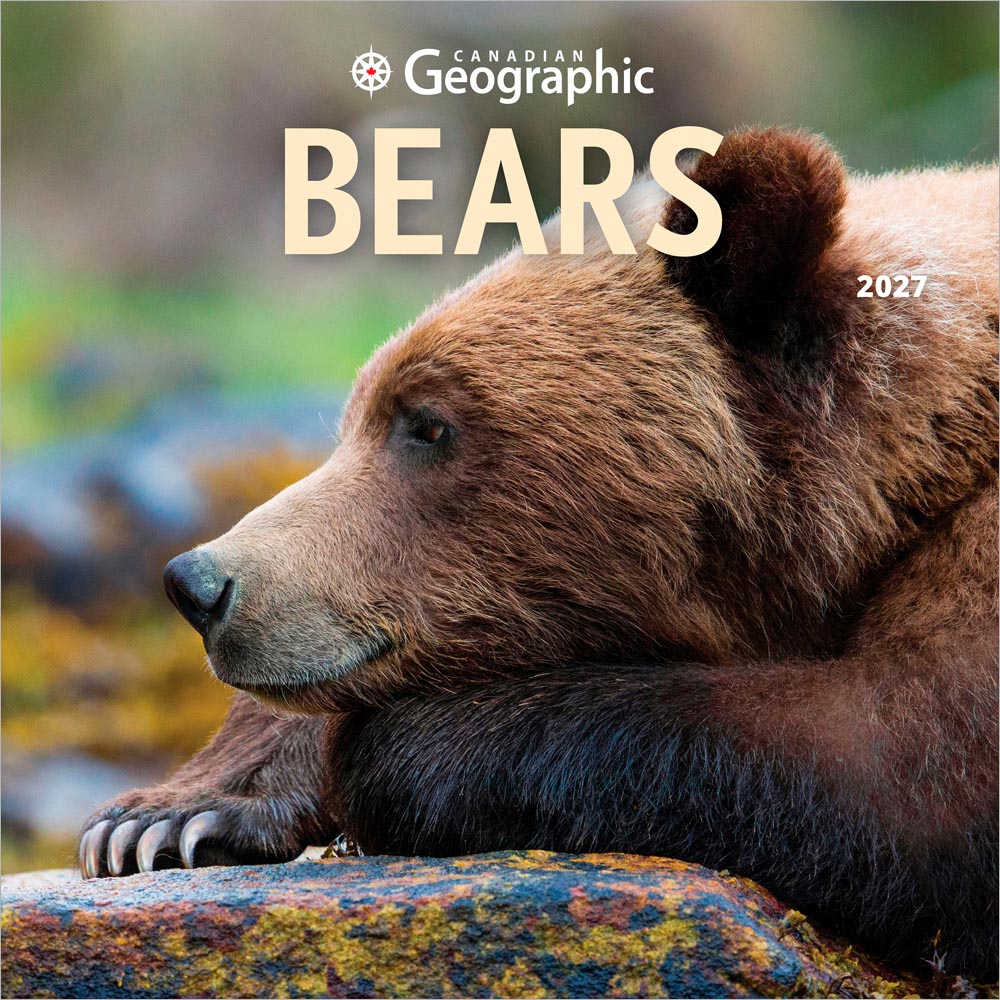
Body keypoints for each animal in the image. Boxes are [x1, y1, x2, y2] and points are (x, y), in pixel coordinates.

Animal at [79, 129, 998, 980]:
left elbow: (897, 767)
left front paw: (399, 750)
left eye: (428, 424)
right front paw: (164, 817)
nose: (201, 585)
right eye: (356, 415)